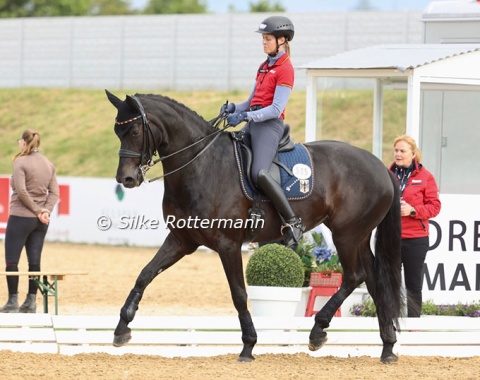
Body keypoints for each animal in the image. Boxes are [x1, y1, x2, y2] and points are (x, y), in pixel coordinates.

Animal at [107, 90, 404, 364]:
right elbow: (145, 274)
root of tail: (380, 166)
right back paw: (387, 347)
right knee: (374, 280)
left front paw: (248, 345)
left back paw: (318, 331)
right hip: (359, 236)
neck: (202, 164)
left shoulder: (227, 244)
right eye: (117, 131)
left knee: (355, 276)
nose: (126, 178)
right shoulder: (182, 240)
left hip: (346, 234)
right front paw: (122, 328)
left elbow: (239, 293)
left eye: (134, 130)